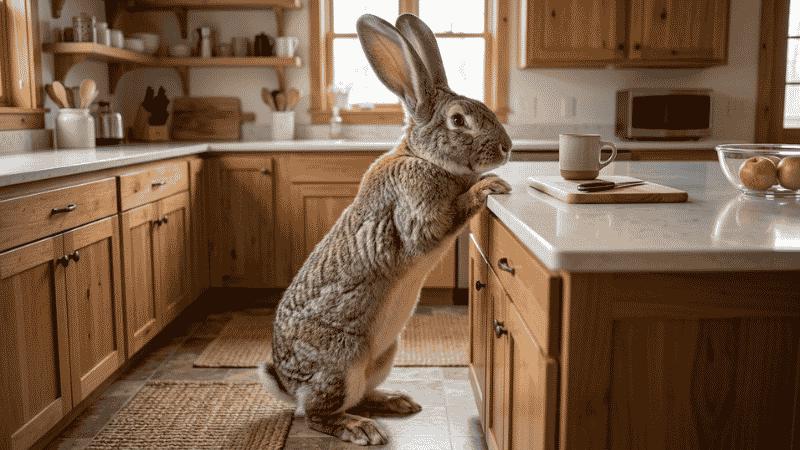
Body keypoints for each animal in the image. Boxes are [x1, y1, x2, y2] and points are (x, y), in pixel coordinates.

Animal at [259, 13, 512, 446]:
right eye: (458, 120)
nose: (508, 147)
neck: (422, 156)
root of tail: (289, 385)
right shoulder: (419, 211)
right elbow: (443, 218)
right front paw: (489, 185)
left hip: (384, 354)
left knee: (359, 395)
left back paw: (397, 401)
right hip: (339, 363)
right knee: (317, 415)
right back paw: (360, 428)